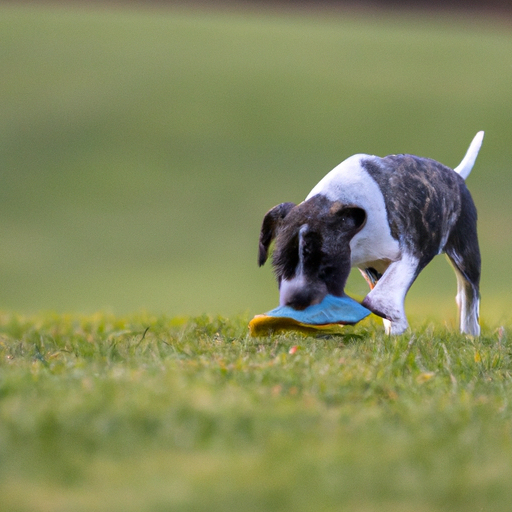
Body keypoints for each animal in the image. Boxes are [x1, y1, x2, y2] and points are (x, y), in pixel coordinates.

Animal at [260, 132, 484, 336]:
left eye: (325, 265)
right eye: (281, 267)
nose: (296, 300)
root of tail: (456, 174)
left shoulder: (412, 254)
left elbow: (378, 297)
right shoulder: (369, 268)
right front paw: (396, 329)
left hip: (465, 254)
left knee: (470, 292)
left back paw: (470, 332)